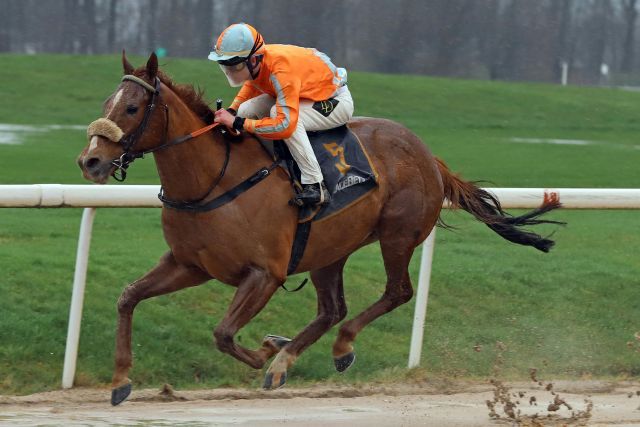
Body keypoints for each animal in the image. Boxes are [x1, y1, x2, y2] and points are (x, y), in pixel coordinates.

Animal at [77, 51, 564, 406]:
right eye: (105, 105)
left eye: (133, 107)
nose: (90, 161)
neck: (214, 178)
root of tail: (429, 155)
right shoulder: (188, 264)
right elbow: (128, 297)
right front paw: (120, 380)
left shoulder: (264, 273)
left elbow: (223, 333)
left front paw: (265, 351)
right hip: (330, 248)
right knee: (333, 308)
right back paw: (288, 354)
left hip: (398, 234)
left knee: (395, 293)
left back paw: (328, 350)